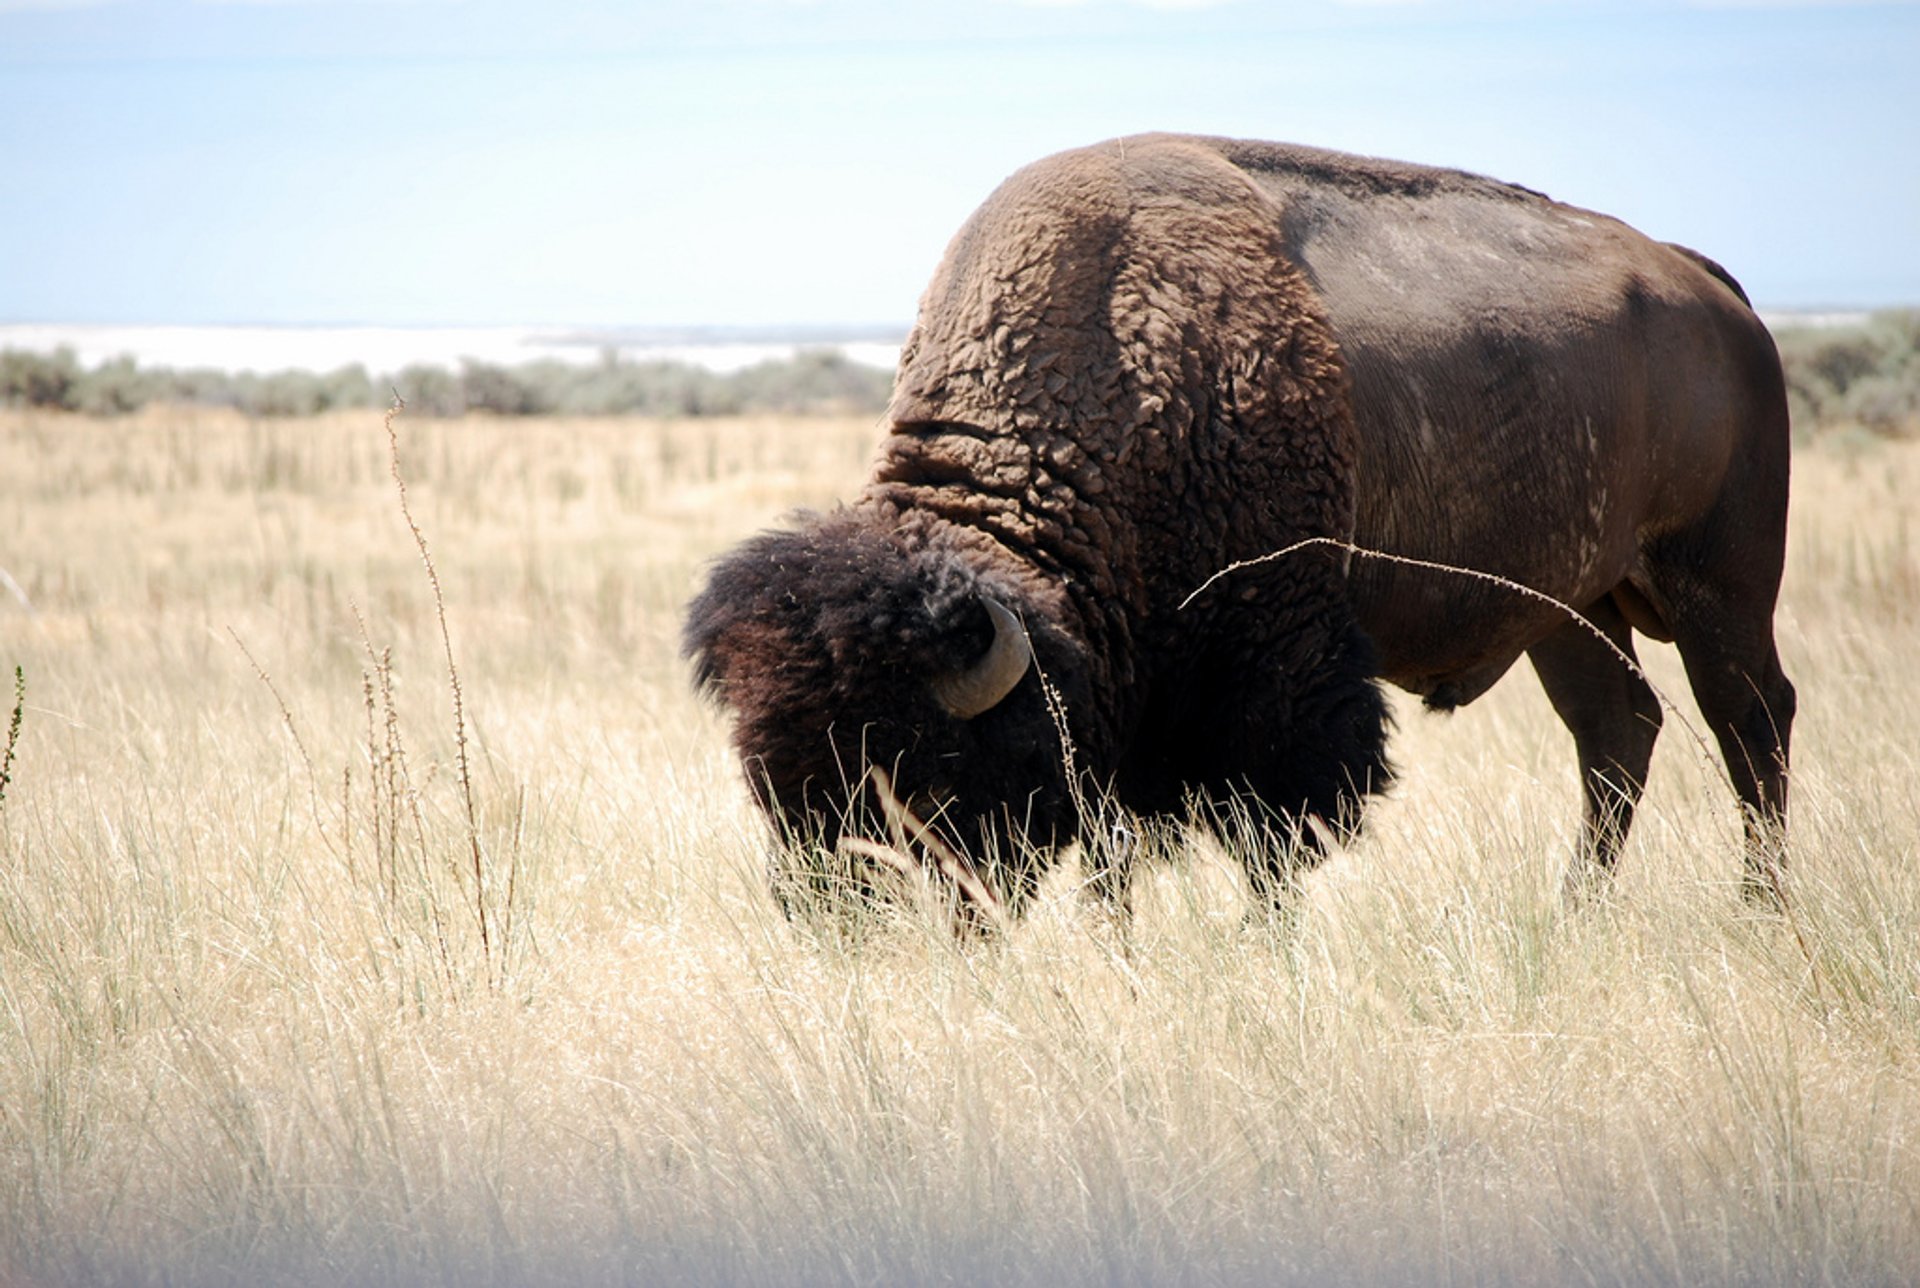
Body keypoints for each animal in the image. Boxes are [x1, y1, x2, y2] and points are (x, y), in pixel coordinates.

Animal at [683, 133, 1789, 929]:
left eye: (928, 765)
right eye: (767, 777)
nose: (841, 920)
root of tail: (1713, 292)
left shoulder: (1277, 676)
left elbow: (1271, 838)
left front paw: (1264, 945)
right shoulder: (1132, 699)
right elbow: (1120, 850)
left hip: (1719, 584)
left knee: (1750, 720)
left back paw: (1763, 912)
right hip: (1571, 607)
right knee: (1616, 732)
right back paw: (1575, 914)